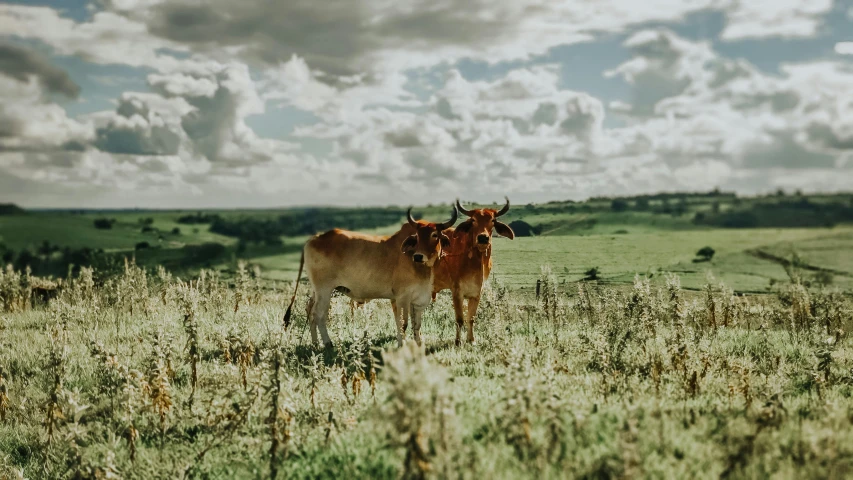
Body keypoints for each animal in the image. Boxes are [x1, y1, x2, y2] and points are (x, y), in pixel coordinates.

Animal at [282, 206, 456, 348]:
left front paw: (417, 345)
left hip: (316, 291)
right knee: (318, 314)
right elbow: (403, 324)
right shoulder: (402, 298)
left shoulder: (417, 300)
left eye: (435, 234)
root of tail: (314, 238)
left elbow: (416, 325)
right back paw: (327, 343)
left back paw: (315, 344)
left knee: (309, 310)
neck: (421, 267)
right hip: (324, 289)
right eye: (417, 236)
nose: (419, 256)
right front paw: (404, 346)